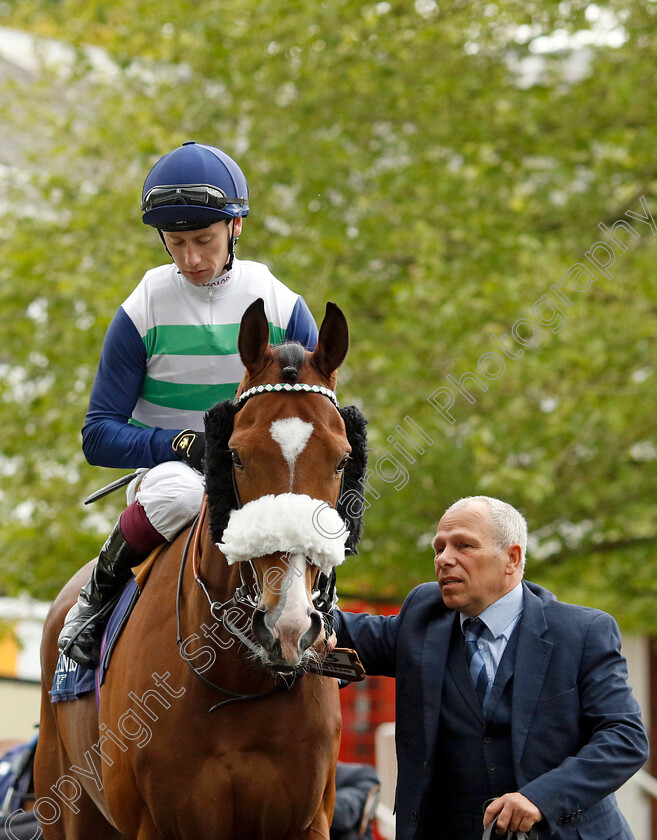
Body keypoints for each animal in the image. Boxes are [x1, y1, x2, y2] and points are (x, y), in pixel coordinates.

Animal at [34, 298, 368, 836]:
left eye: (342, 459)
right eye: (235, 454)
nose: (289, 626)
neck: (237, 684)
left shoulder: (307, 820)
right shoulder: (160, 824)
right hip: (66, 802)